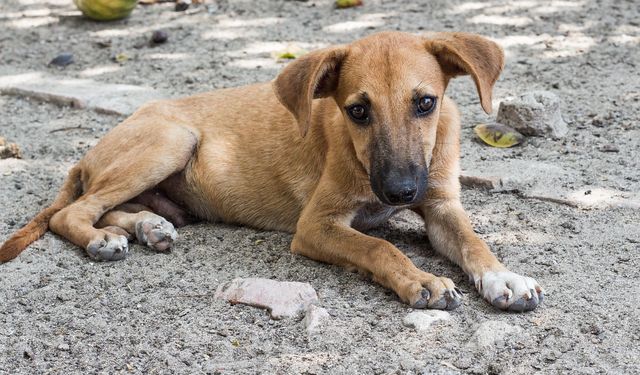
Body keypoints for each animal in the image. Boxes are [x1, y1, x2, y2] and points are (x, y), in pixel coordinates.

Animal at [1, 32, 544, 312]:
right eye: (358, 111)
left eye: (426, 103)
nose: (400, 191)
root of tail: (88, 152)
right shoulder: (316, 226)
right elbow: (378, 246)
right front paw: (421, 280)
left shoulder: (442, 206)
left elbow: (474, 242)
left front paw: (505, 278)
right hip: (171, 140)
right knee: (71, 213)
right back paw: (102, 239)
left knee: (114, 207)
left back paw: (148, 227)